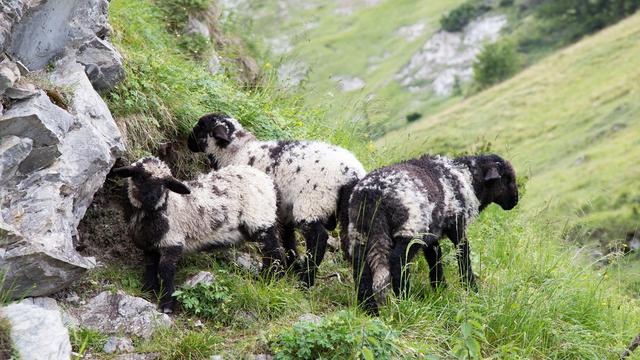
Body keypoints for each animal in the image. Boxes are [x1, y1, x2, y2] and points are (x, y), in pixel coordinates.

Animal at [112, 157, 284, 312]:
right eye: (140, 177)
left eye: (165, 184)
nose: (152, 198)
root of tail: (265, 179)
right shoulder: (149, 245)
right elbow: (150, 266)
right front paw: (147, 289)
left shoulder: (173, 240)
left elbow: (166, 270)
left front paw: (167, 304)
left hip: (260, 219)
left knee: (274, 251)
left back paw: (271, 277)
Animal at [188, 112, 364, 286]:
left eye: (200, 126)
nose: (188, 140)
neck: (237, 151)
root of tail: (352, 174)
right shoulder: (284, 210)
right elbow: (288, 238)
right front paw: (292, 266)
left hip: (312, 202)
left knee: (318, 239)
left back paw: (306, 281)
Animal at [348, 153, 516, 314]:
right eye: (508, 179)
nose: (515, 201)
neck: (468, 179)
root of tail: (373, 195)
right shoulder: (457, 224)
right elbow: (463, 254)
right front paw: (471, 288)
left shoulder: (432, 233)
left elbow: (435, 257)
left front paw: (440, 288)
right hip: (410, 228)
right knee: (398, 262)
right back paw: (404, 299)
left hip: (361, 232)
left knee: (361, 269)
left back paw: (369, 309)